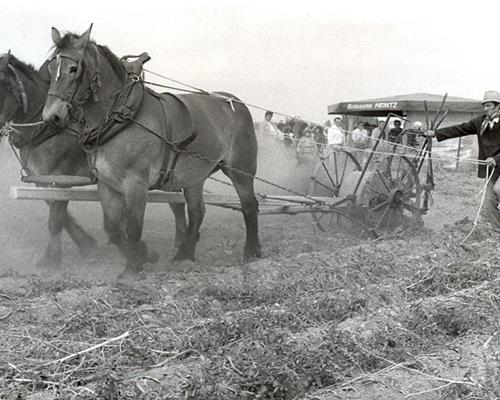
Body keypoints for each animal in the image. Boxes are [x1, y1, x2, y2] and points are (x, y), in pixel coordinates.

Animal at [0, 51, 96, 268]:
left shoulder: (60, 178)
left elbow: (56, 218)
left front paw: (51, 260)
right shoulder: (41, 178)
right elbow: (57, 211)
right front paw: (87, 245)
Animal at [42, 26, 262, 280]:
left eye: (74, 68)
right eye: (50, 69)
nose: (51, 117)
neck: (121, 116)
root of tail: (234, 102)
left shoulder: (136, 183)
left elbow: (133, 227)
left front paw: (132, 268)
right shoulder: (106, 184)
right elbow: (113, 228)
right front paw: (143, 257)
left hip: (241, 170)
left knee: (249, 205)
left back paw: (252, 252)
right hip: (194, 175)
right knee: (197, 211)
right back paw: (184, 255)